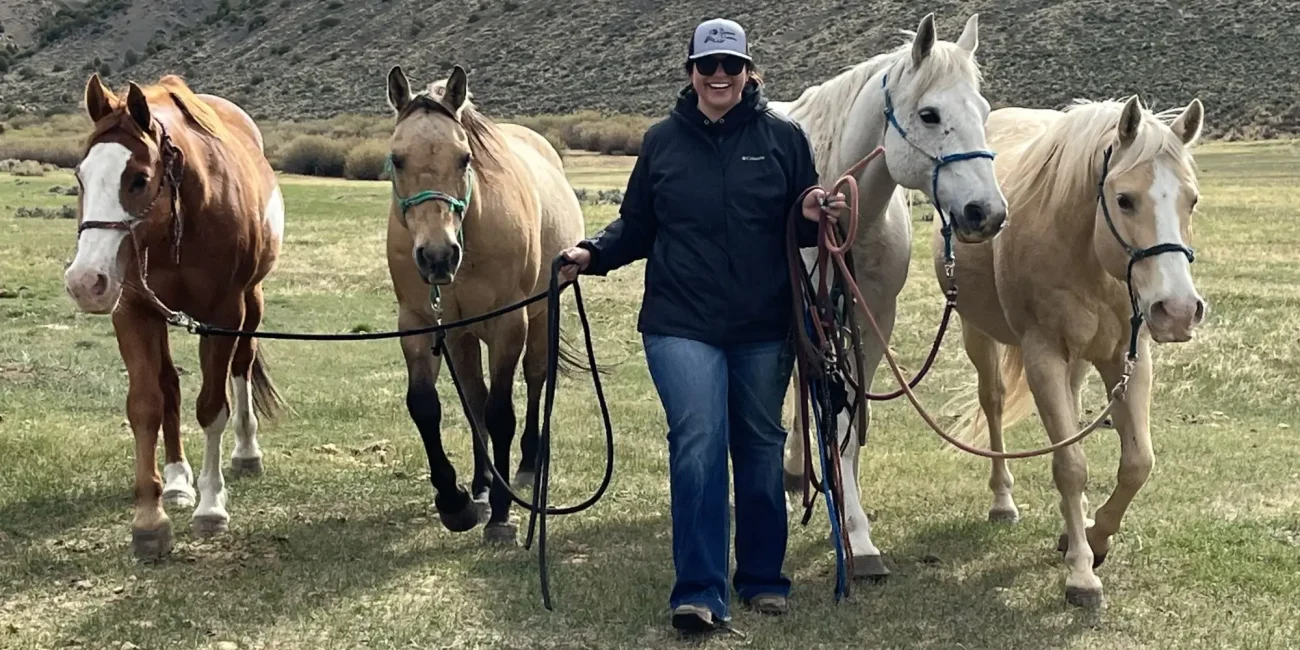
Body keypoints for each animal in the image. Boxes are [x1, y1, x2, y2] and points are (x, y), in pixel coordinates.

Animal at [62, 73, 286, 560]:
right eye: (80, 176)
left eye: (139, 179)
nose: (86, 281)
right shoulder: (133, 312)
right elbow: (147, 405)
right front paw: (150, 520)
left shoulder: (224, 314)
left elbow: (213, 407)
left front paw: (212, 506)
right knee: (169, 386)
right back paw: (178, 480)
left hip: (252, 303)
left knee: (241, 369)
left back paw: (245, 452)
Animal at [383, 64, 586, 544]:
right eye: (397, 159)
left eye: (464, 158)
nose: (438, 256)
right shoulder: (420, 322)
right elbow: (428, 406)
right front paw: (455, 501)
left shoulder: (508, 324)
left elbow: (500, 414)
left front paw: (501, 515)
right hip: (462, 334)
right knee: (473, 398)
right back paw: (480, 483)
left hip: (538, 319)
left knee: (534, 382)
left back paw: (526, 467)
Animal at [768, 12, 1007, 579]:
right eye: (929, 114)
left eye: (984, 112)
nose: (986, 213)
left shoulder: (872, 322)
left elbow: (847, 421)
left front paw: (854, 527)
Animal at [932, 95, 1207, 606]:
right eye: (1125, 199)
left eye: (1192, 199)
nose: (1178, 311)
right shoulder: (1043, 355)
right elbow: (1070, 465)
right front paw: (1081, 572)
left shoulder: (1127, 356)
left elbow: (1137, 463)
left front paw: (1093, 538)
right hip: (977, 332)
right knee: (993, 404)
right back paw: (1003, 500)